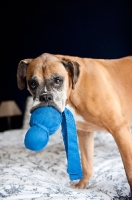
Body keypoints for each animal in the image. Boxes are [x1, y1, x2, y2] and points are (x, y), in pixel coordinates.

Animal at [17, 52, 132, 198]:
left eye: (58, 80)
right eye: (32, 84)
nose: (45, 97)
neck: (73, 90)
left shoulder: (119, 128)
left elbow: (129, 170)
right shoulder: (85, 133)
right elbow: (87, 164)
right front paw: (82, 185)